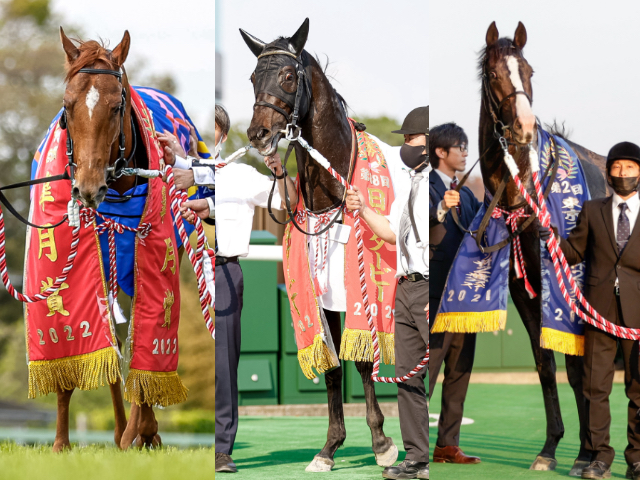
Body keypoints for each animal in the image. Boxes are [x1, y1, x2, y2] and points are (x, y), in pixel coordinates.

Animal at [240, 19, 398, 472]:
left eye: (288, 76)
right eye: (253, 77)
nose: (258, 133)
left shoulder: (358, 288)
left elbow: (362, 359)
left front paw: (382, 442)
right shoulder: (322, 294)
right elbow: (331, 367)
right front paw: (329, 448)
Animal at [478, 21, 608, 472]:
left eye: (529, 71)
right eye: (494, 74)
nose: (524, 127)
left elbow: (578, 366)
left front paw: (586, 453)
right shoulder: (525, 290)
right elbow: (545, 363)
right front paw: (550, 449)